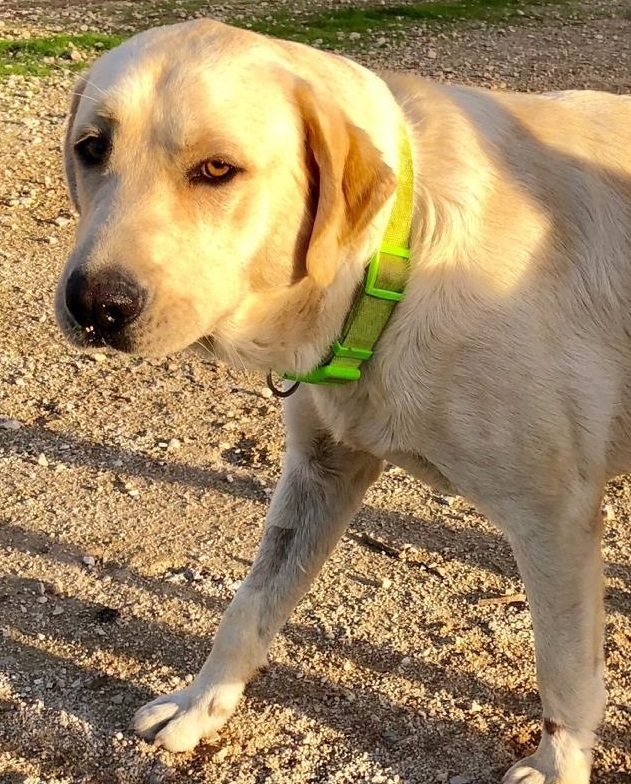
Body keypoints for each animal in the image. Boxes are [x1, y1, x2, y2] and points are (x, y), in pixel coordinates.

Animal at [55, 18, 631, 783]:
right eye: (92, 148)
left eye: (216, 170)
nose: (94, 306)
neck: (397, 260)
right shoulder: (323, 472)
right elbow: (249, 605)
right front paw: (200, 706)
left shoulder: (554, 517)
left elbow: (564, 673)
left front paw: (556, 764)